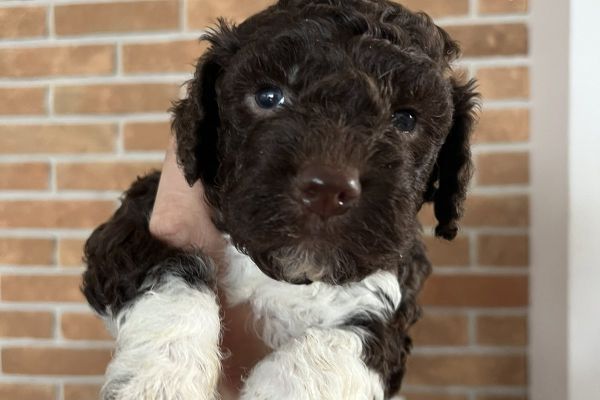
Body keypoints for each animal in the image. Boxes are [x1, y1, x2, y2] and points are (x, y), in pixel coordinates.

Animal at [83, 1, 478, 398]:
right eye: (268, 97)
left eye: (405, 119)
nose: (328, 190)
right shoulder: (135, 221)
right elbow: (170, 277)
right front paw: (161, 379)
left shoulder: (392, 302)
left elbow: (334, 350)